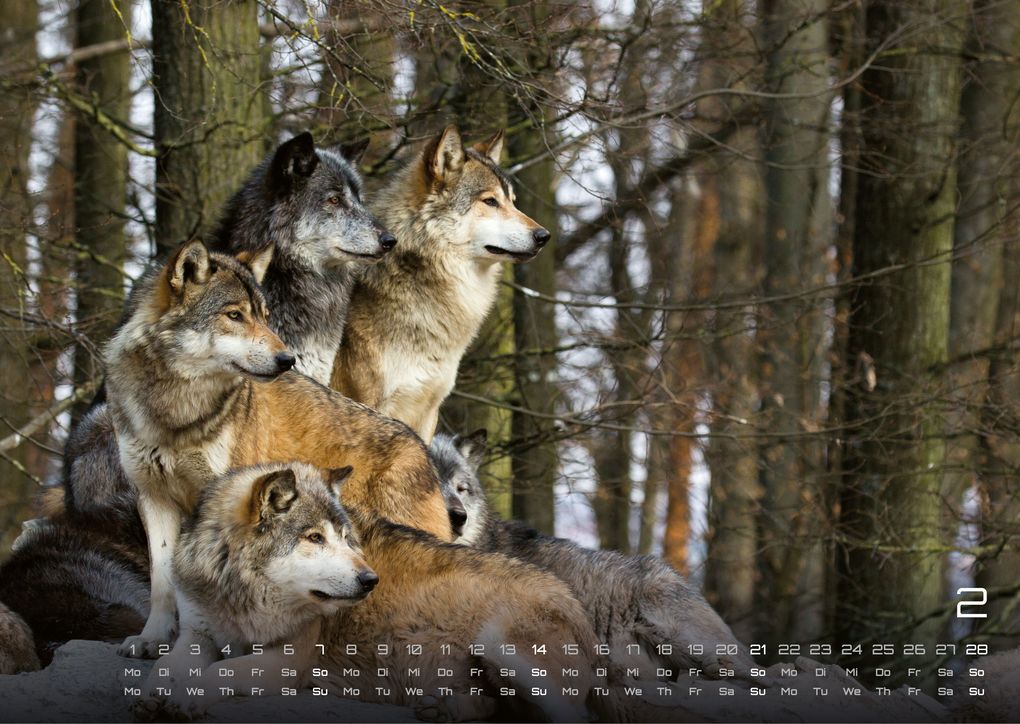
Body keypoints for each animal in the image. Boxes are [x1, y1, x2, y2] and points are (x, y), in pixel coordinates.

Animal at [106, 240, 452, 659]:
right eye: (235, 315)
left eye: (265, 317)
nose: (288, 359)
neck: (177, 412)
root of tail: (421, 446)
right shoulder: (153, 497)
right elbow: (162, 580)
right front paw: (153, 639)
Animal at [139, 462, 597, 723]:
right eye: (314, 538)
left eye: (346, 539)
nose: (370, 580)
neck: (242, 594)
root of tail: (579, 608)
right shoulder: (197, 634)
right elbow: (165, 665)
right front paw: (156, 691)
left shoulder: (288, 662)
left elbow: (219, 672)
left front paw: (184, 699)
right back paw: (443, 708)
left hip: (502, 646)